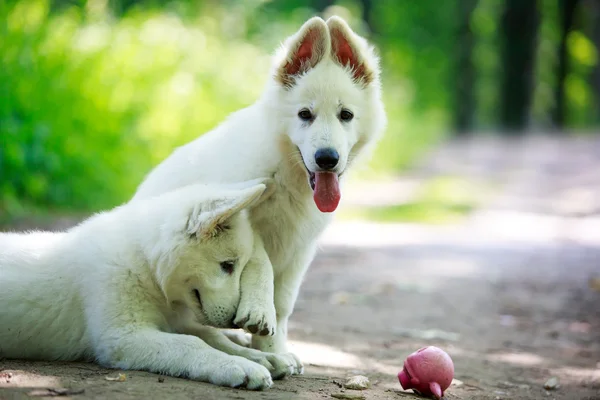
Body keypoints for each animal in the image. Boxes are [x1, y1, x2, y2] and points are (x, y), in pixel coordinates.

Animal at [0, 180, 290, 390]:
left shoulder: (175, 321)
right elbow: (191, 344)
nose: (234, 320)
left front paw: (260, 357)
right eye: (228, 265)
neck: (145, 263)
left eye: (238, 267)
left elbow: (212, 336)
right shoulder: (123, 337)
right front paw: (238, 366)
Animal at [131, 16, 386, 376]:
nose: (327, 158)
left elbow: (283, 304)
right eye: (304, 114)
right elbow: (260, 263)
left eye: (345, 115)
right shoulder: (241, 216)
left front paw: (274, 348)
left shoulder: (299, 249)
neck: (287, 174)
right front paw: (259, 316)